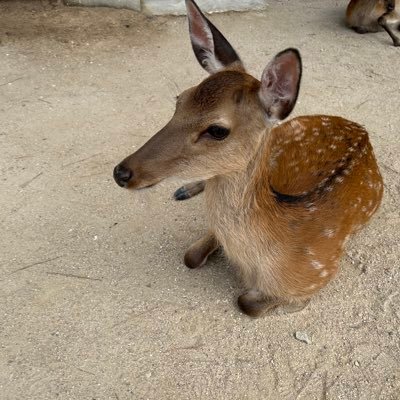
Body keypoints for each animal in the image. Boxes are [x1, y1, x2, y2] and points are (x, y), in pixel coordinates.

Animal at [113, 0, 384, 318]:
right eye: (180, 100)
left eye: (217, 130)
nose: (121, 172)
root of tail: (360, 128)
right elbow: (191, 256)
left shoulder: (319, 274)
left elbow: (247, 303)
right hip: (285, 131)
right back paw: (184, 189)